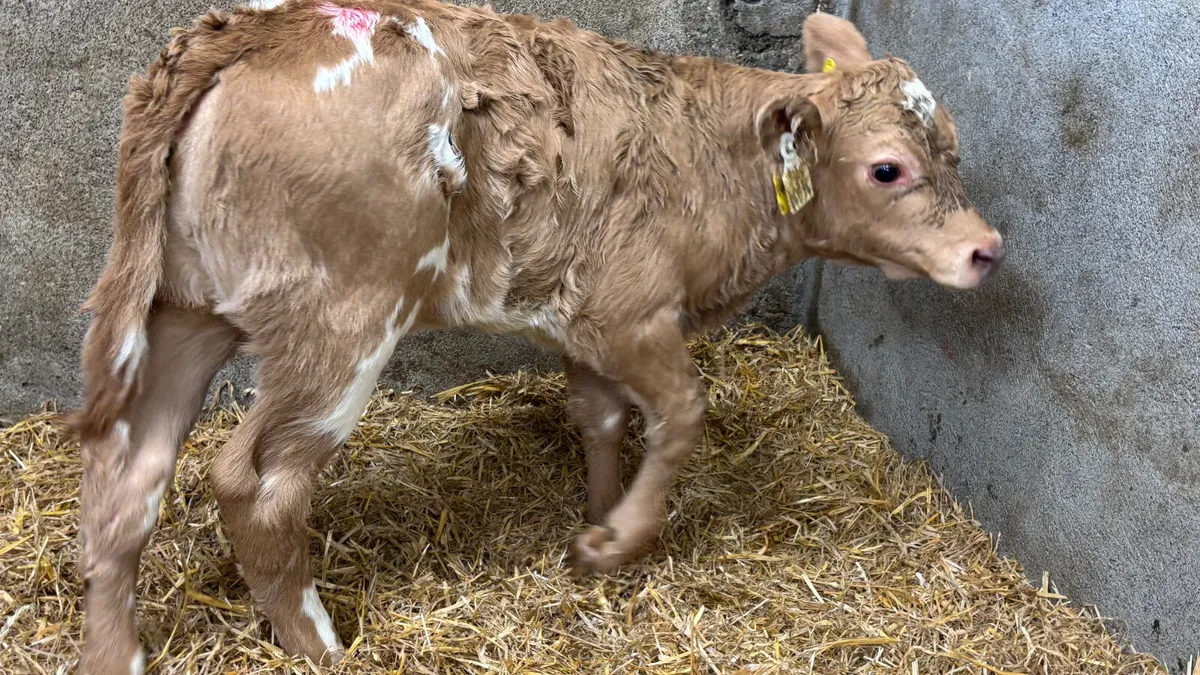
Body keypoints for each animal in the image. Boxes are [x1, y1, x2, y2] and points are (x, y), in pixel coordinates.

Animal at [67, 0, 1004, 672]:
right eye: (887, 168)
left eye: (954, 147)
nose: (986, 249)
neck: (713, 161)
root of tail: (256, 28)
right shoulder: (629, 311)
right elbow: (682, 412)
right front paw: (619, 539)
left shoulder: (580, 321)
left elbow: (601, 417)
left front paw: (596, 519)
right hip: (341, 326)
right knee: (253, 485)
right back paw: (322, 646)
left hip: (185, 309)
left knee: (128, 482)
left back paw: (118, 654)